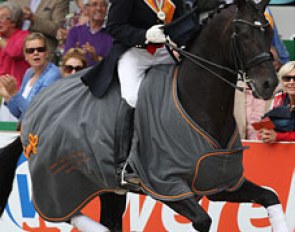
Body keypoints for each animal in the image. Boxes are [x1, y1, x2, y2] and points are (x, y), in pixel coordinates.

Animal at [0, 0, 292, 231]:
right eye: (242, 34)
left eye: (268, 33)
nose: (268, 84)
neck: (198, 103)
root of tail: (36, 105)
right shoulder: (166, 185)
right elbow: (203, 220)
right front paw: (155, 33)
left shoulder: (219, 183)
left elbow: (271, 197)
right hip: (61, 182)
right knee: (66, 214)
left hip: (107, 186)